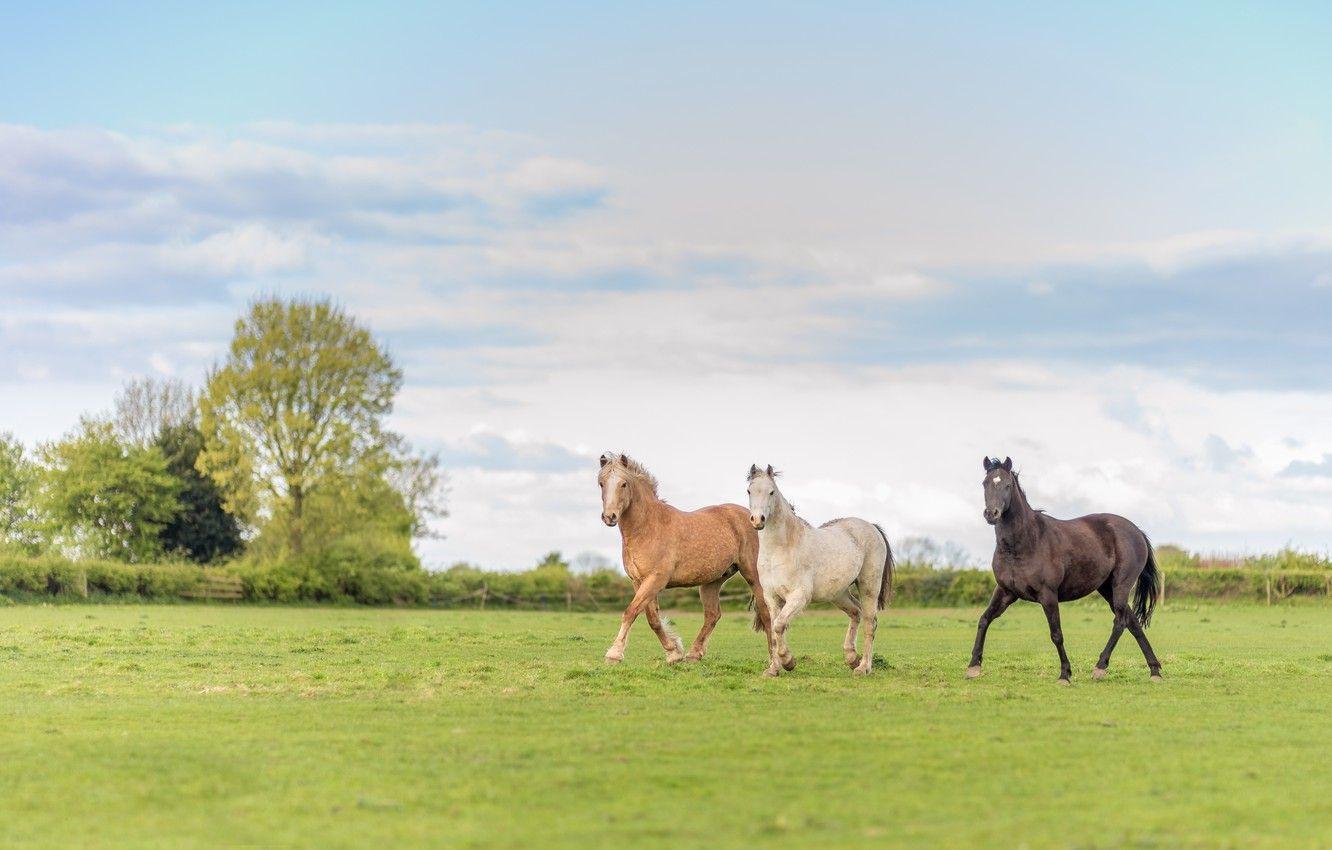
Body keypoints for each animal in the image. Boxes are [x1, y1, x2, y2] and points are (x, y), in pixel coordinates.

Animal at [599, 455, 777, 668]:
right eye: (601, 483)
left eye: (623, 484)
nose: (609, 517)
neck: (648, 527)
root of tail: (756, 519)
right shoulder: (639, 581)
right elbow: (653, 619)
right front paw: (673, 652)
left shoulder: (655, 580)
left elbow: (631, 612)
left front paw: (614, 654)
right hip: (712, 581)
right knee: (712, 615)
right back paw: (693, 655)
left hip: (753, 576)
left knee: (766, 613)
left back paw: (774, 660)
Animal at [740, 466, 895, 679]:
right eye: (749, 491)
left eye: (771, 492)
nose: (757, 520)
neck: (782, 548)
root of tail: (872, 527)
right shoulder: (771, 598)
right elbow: (774, 630)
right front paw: (773, 670)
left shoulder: (799, 596)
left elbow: (779, 626)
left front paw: (789, 662)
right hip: (839, 594)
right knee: (856, 612)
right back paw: (851, 658)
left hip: (869, 587)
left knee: (870, 622)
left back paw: (863, 667)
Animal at [964, 458, 1161, 687]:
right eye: (985, 483)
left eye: (1007, 485)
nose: (991, 514)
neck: (1024, 543)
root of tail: (1136, 531)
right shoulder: (1006, 592)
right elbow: (984, 620)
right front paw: (973, 667)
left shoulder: (1048, 594)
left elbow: (1056, 634)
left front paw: (1065, 674)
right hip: (1107, 589)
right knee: (1133, 622)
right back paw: (1155, 671)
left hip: (1121, 585)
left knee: (1120, 622)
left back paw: (1100, 667)